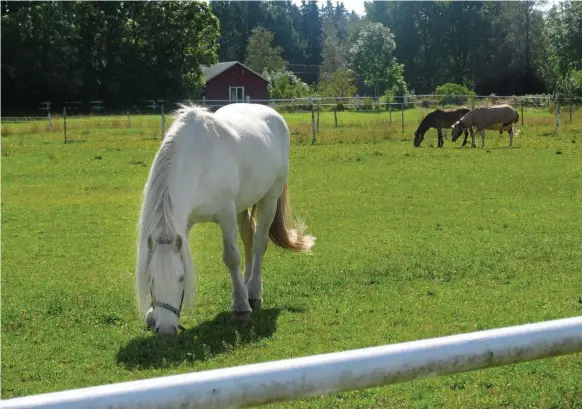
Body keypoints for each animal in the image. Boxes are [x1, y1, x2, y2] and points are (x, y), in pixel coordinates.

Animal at [135, 103, 318, 334]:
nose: (166, 330)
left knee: (259, 242)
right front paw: (152, 314)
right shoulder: (185, 222)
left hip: (270, 197)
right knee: (249, 237)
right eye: (150, 279)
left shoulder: (226, 214)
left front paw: (240, 307)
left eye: (181, 278)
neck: (199, 162)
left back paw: (253, 293)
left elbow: (231, 257)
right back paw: (247, 285)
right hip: (243, 205)